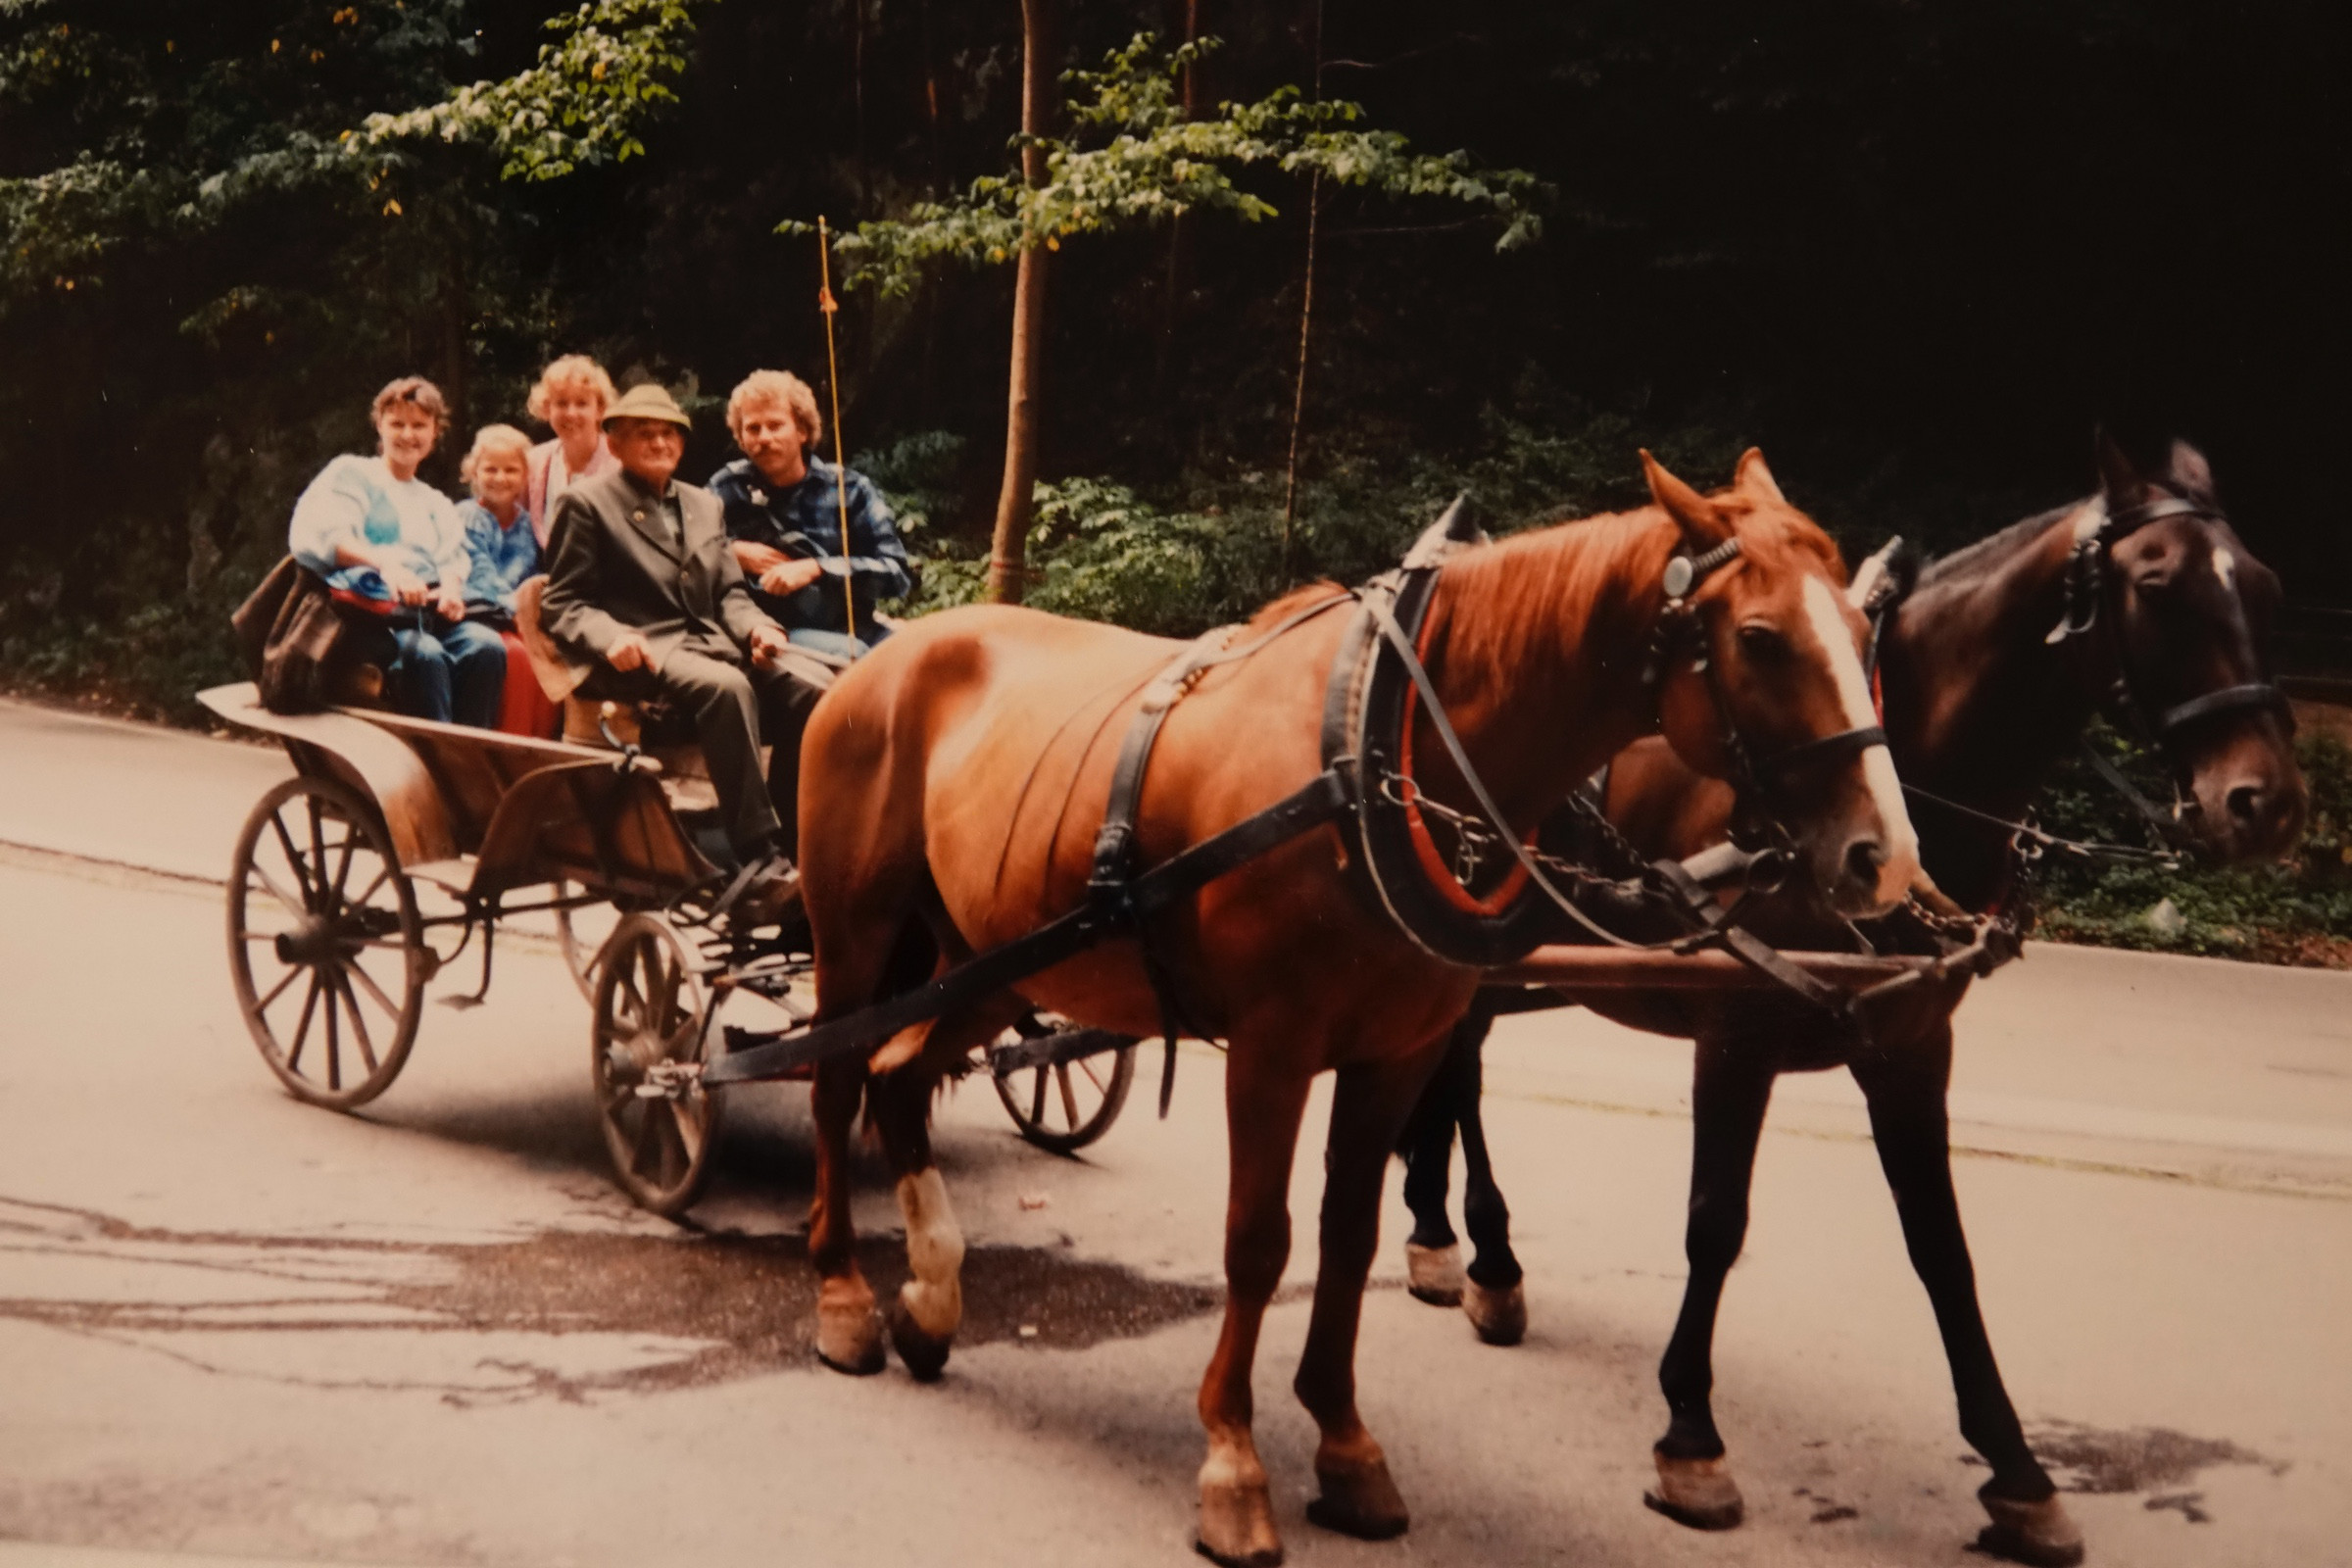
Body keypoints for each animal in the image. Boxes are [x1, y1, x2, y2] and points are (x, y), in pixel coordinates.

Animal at [800, 453, 1919, 1568]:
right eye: (1760, 637)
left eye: (1863, 633)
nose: (1885, 856)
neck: (1378, 746)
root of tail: (885, 656)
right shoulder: (1272, 1049)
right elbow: (1260, 1241)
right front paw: (1233, 1461)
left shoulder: (1399, 1049)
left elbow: (1348, 1233)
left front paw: (1343, 1446)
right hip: (856, 933)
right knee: (836, 1078)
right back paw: (845, 1295)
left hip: (995, 962)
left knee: (898, 1074)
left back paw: (933, 1297)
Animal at [1392, 434, 2295, 1560]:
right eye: (2159, 584)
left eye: (2263, 583)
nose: (2265, 802)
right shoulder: (1734, 1031)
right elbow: (1715, 1224)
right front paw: (1691, 1439)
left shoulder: (1911, 1046)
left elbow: (1941, 1248)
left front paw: (2018, 1471)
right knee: (1458, 1071)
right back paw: (1482, 1254)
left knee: (1449, 1065)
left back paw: (1446, 1240)